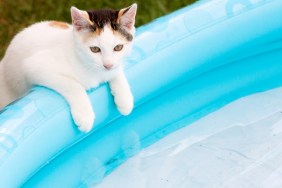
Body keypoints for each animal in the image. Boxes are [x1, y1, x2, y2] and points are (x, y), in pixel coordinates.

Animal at [0, 3, 137, 132]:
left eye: (118, 47)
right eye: (95, 49)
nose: (108, 65)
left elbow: (116, 71)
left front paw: (125, 100)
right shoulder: (33, 65)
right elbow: (73, 85)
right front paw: (85, 115)